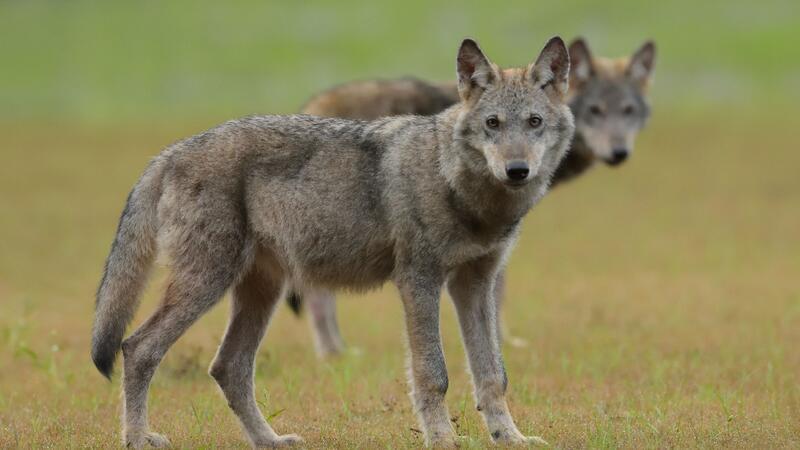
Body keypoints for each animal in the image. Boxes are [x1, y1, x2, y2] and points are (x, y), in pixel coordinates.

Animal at [92, 37, 576, 448]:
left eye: (533, 123)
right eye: (493, 124)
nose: (517, 170)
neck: (459, 187)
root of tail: (169, 153)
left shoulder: (475, 285)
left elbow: (493, 374)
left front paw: (510, 438)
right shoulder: (419, 282)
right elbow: (433, 374)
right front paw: (442, 440)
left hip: (260, 293)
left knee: (228, 368)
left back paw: (270, 440)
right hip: (208, 284)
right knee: (137, 349)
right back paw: (138, 439)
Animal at [290, 37, 652, 356]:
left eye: (628, 111)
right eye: (596, 111)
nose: (619, 153)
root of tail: (312, 103)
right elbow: (498, 292)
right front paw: (504, 341)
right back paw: (333, 353)